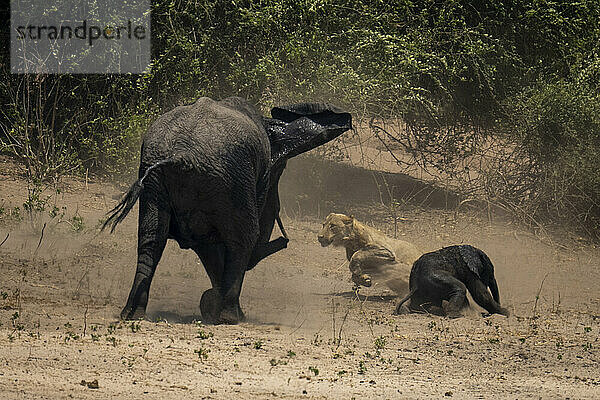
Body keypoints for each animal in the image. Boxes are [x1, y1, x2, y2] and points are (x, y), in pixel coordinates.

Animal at [104, 97, 352, 324]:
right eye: (279, 172)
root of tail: (181, 154)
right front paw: (215, 308)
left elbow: (206, 247)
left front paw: (209, 304)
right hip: (227, 177)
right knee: (244, 238)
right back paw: (231, 318)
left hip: (156, 178)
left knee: (151, 239)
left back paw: (132, 314)